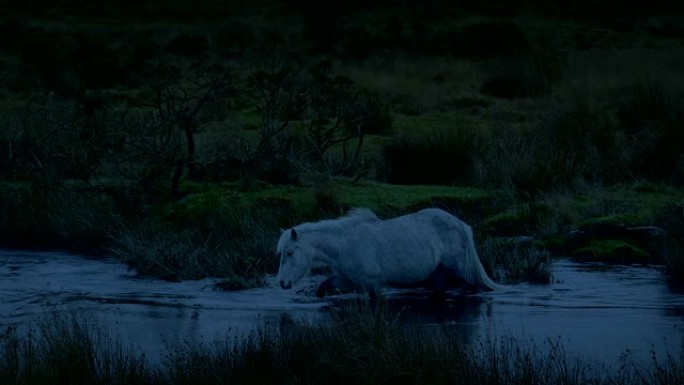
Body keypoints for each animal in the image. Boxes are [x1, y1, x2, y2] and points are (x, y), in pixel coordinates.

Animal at [276, 207, 504, 300]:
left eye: (290, 252)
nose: (282, 283)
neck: (347, 245)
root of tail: (461, 224)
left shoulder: (373, 283)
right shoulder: (347, 279)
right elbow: (323, 287)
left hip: (462, 270)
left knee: (476, 287)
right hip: (438, 274)